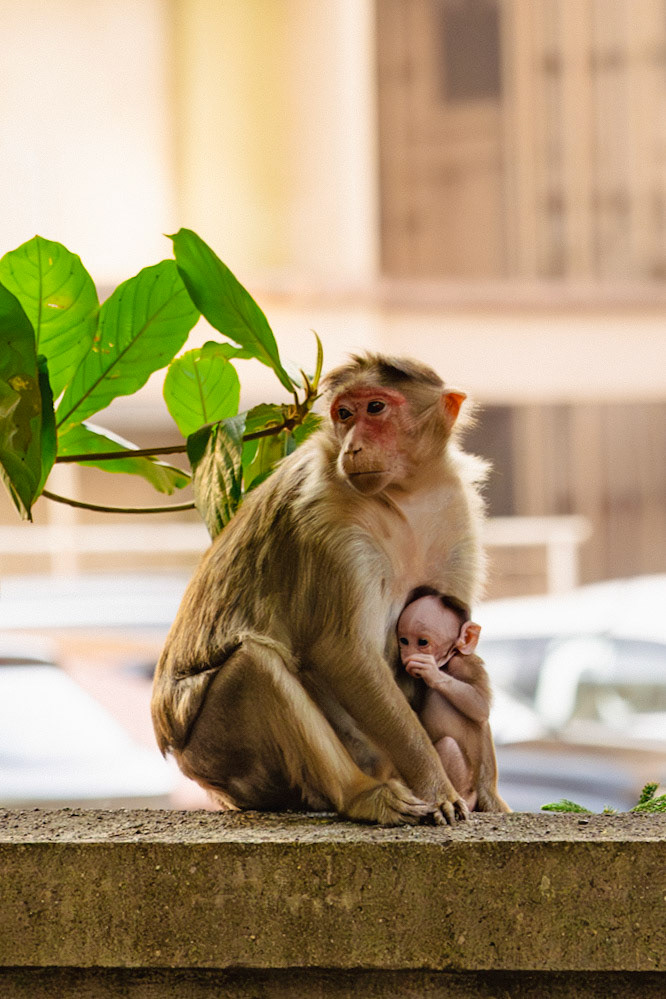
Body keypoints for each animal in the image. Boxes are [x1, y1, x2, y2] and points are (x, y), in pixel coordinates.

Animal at [151, 353, 489, 825]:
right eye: (344, 414)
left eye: (376, 408)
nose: (353, 448)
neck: (405, 497)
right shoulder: (328, 520)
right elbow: (342, 652)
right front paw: (437, 787)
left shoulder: (456, 510)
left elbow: (454, 652)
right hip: (215, 753)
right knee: (254, 665)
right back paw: (362, 796)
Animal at [396, 587, 510, 813]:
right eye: (404, 640)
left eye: (422, 642)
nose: (407, 654)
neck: (446, 665)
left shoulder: (464, 664)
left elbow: (480, 707)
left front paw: (431, 672)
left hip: (468, 786)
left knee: (448, 745)